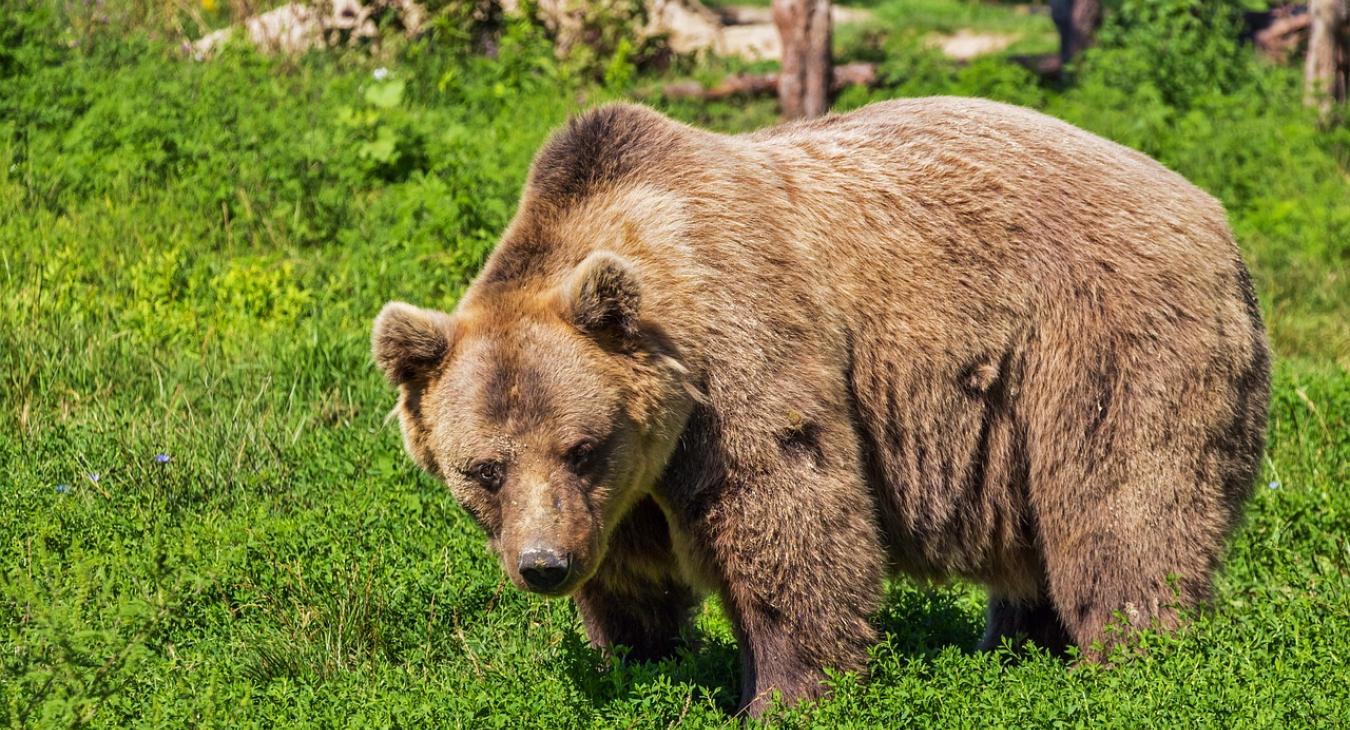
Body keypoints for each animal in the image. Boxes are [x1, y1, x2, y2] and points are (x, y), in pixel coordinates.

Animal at [375, 95, 1269, 712]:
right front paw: (640, 661)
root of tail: (1214, 215)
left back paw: (1134, 661)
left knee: (1123, 509)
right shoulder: (624, 490)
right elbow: (632, 579)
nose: (543, 566)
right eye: (484, 469)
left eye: (581, 446)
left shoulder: (739, 359)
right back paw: (1014, 650)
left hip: (1102, 343)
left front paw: (782, 694)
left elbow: (788, 518)